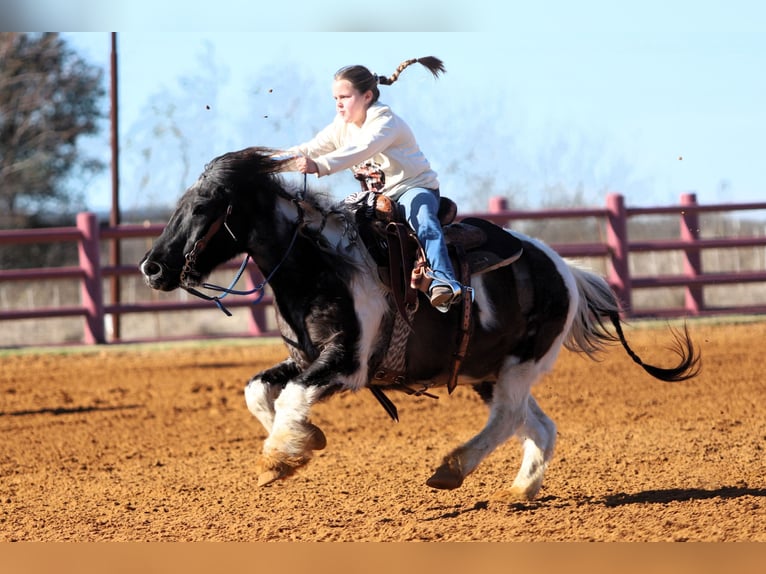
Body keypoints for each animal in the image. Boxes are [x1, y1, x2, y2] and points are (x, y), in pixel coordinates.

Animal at [140, 146, 700, 500]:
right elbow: (259, 390)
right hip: (488, 370)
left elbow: (293, 395)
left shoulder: (346, 363)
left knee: (506, 419)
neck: (320, 264)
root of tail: (566, 271)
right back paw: (521, 489)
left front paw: (279, 457)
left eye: (203, 207)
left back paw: (451, 469)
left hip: (519, 365)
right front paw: (304, 441)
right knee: (537, 423)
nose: (152, 267)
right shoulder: (306, 356)